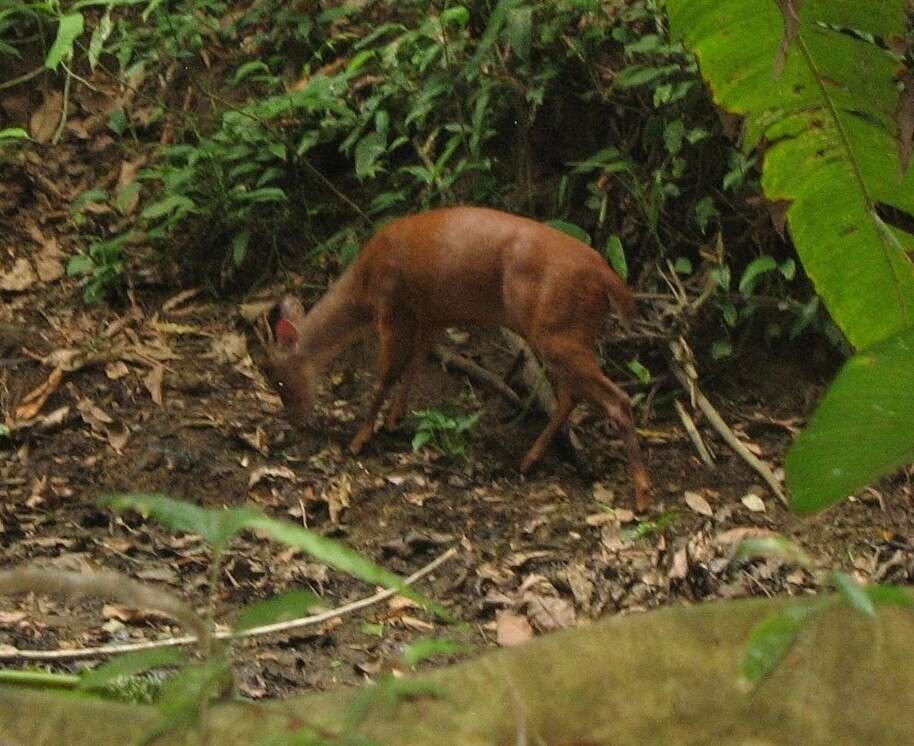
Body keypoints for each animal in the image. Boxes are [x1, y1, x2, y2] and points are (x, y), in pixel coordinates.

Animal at [262, 209, 648, 512]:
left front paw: (360, 438)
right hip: (564, 333)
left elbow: (386, 374)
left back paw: (641, 496)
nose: (298, 422)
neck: (362, 290)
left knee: (616, 398)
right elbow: (414, 365)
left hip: (559, 331)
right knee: (571, 394)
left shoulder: (393, 309)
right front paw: (394, 419)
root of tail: (609, 278)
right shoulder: (428, 316)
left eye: (279, 380)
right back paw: (530, 459)